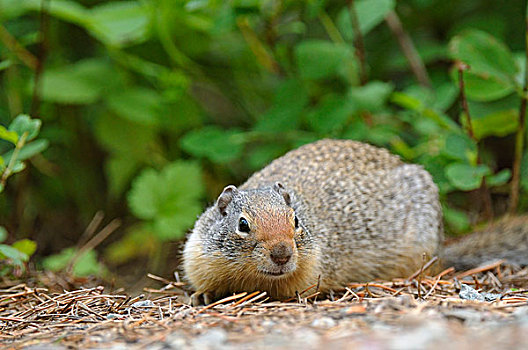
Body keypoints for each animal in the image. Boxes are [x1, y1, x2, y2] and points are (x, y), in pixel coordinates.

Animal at [184, 139, 528, 304]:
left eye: (295, 221)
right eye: (243, 225)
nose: (282, 254)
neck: (251, 276)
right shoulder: (198, 257)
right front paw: (202, 296)